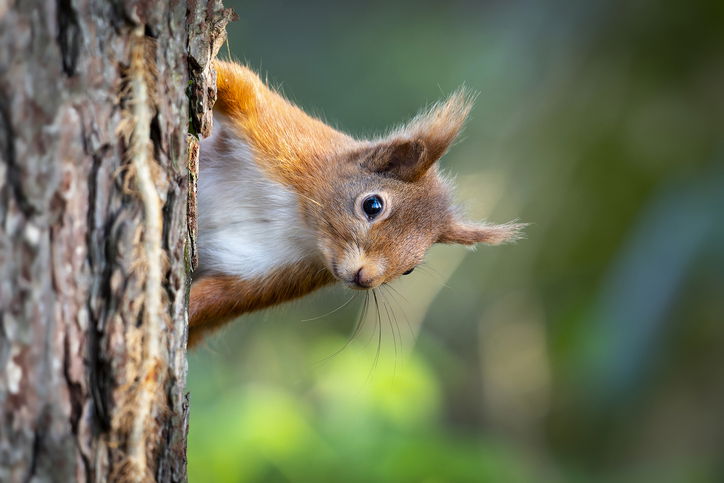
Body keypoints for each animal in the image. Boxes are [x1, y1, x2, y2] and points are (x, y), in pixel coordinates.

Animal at [188, 60, 523, 347]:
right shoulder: (286, 141)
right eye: (372, 205)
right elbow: (241, 86)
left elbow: (217, 300)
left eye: (410, 270)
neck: (299, 220)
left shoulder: (274, 276)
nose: (366, 278)